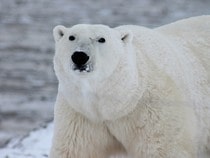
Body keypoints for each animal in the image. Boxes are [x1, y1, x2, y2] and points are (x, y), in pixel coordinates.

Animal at [49, 15, 210, 158]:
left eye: (101, 39)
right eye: (71, 37)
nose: (80, 56)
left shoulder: (153, 110)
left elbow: (163, 149)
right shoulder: (81, 114)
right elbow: (75, 150)